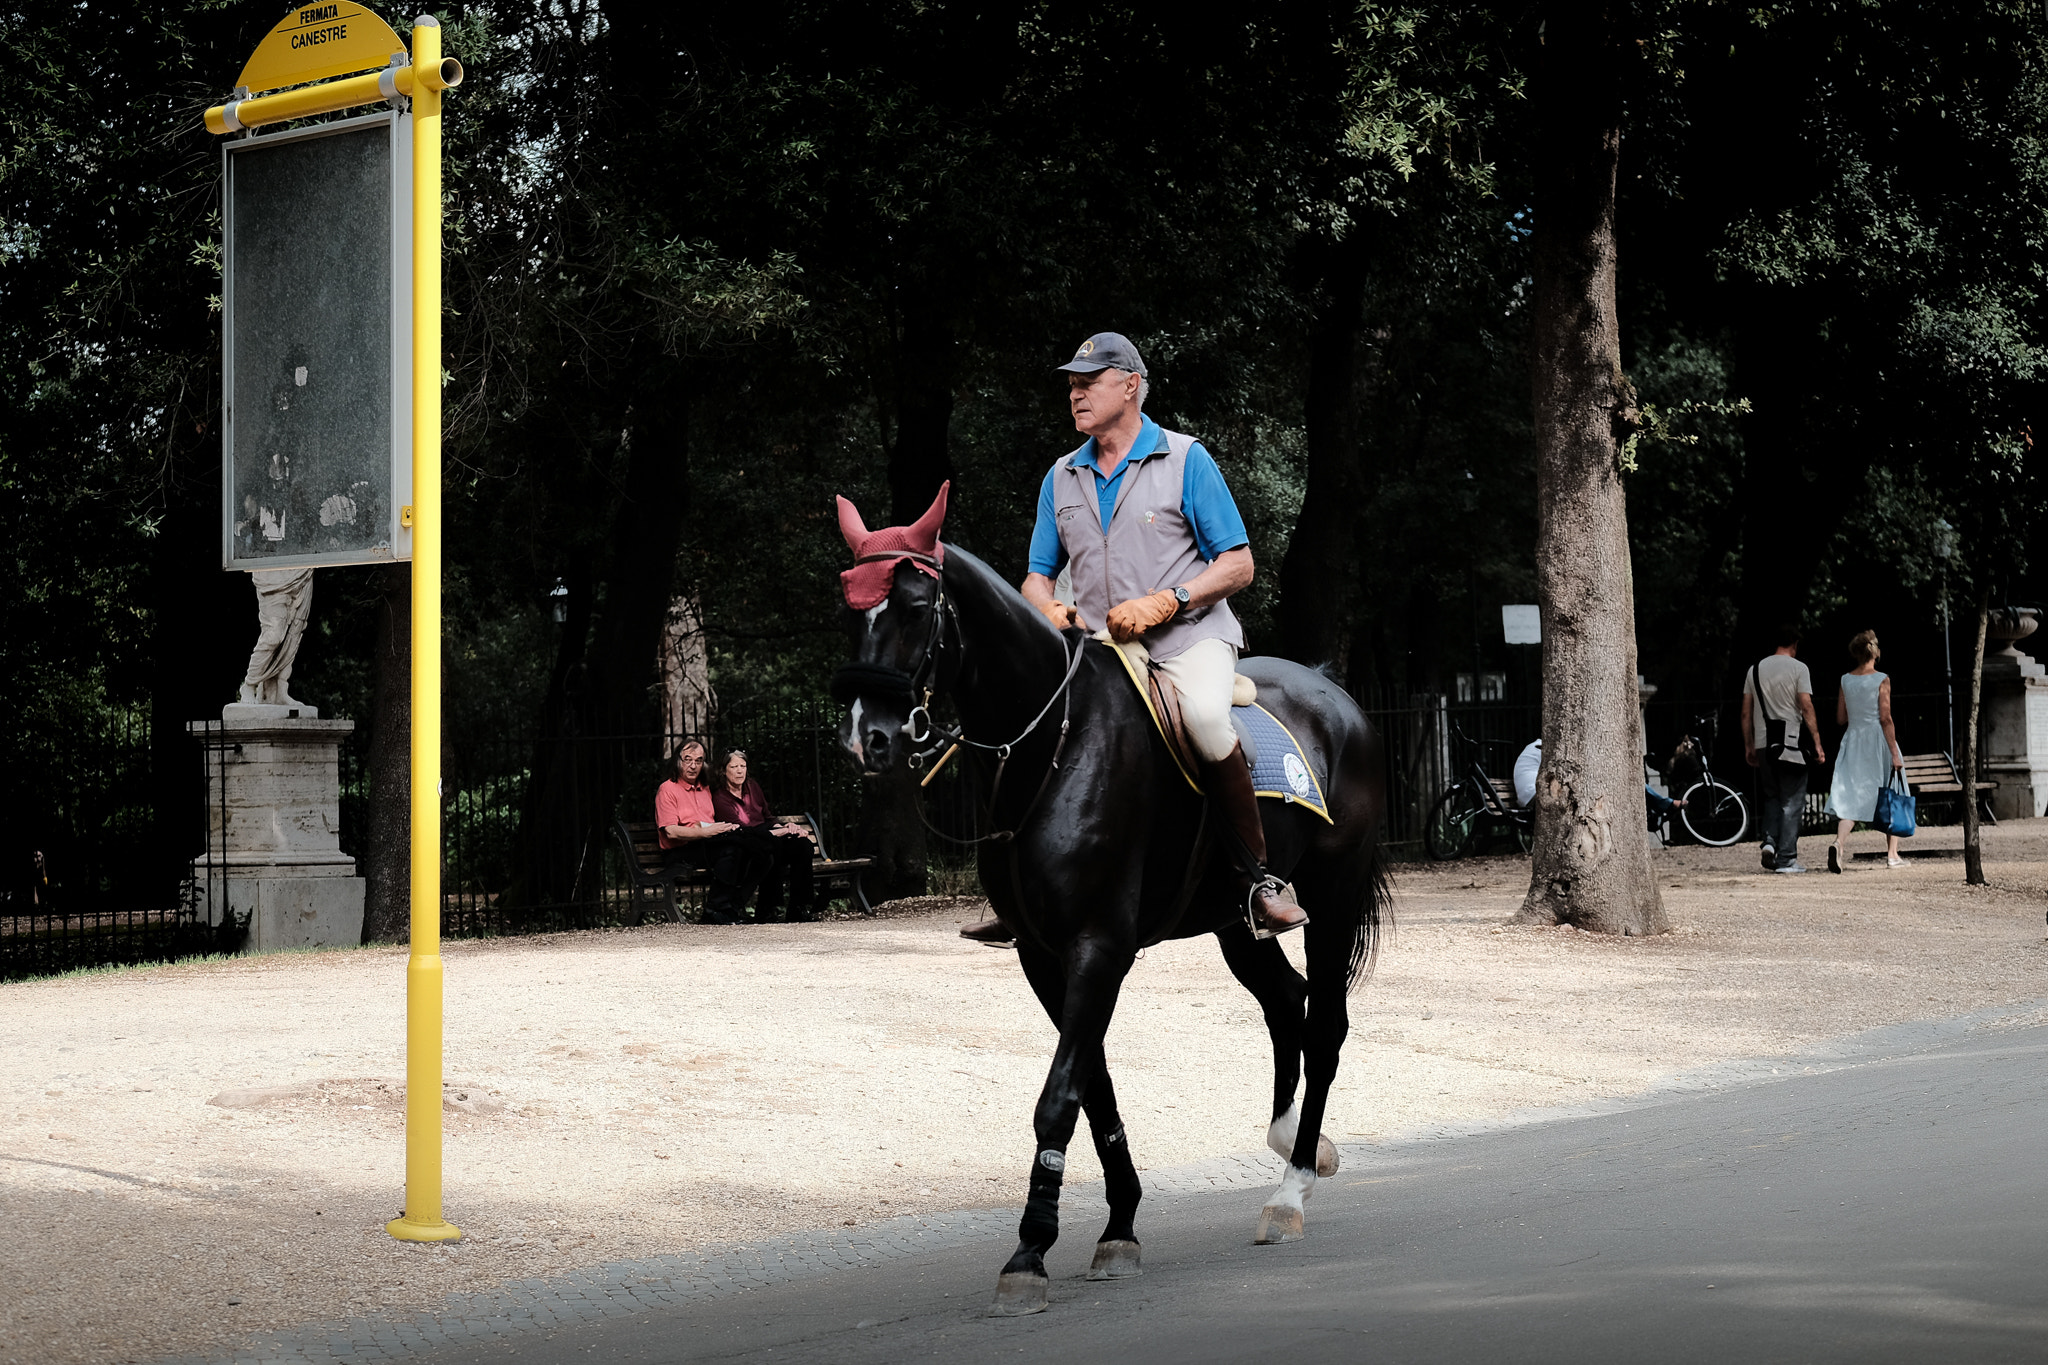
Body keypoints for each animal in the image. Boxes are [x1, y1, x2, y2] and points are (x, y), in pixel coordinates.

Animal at [831, 489, 1392, 1309]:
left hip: (1334, 898)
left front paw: (1030, 1249)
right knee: (1286, 1003)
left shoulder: (1099, 946)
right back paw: (1297, 1139)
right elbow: (1093, 1089)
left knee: (1322, 1026)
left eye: (913, 604)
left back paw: (1288, 1192)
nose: (865, 737)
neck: (1053, 743)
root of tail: (1333, 692)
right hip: (1233, 923)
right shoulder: (1043, 955)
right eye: (850, 607)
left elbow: (1061, 1093)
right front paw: (1118, 1224)